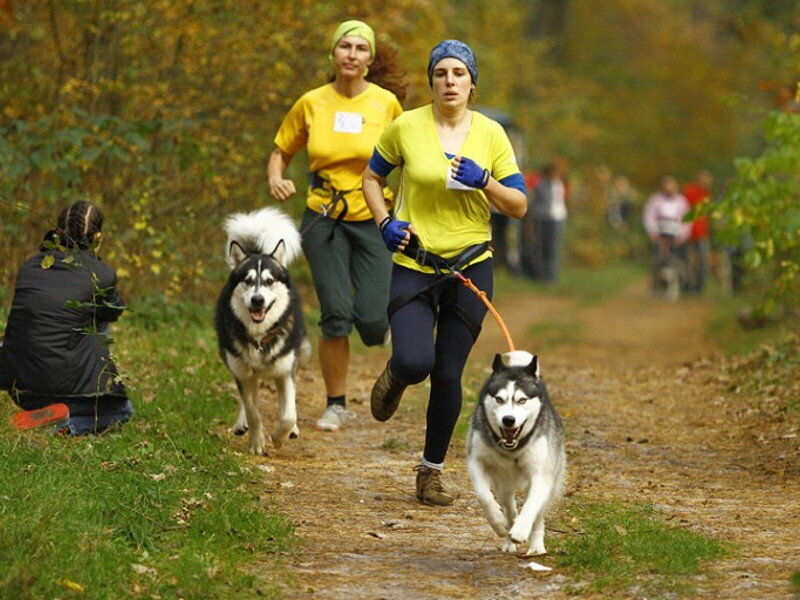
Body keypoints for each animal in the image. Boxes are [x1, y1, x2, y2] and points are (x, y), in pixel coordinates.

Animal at [214, 206, 310, 454]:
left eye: (269, 281)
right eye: (248, 281)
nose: (257, 300)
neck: (259, 337)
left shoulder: (285, 371)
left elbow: (288, 413)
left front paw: (280, 436)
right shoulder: (242, 372)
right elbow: (253, 411)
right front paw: (257, 442)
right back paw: (241, 424)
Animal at [466, 354, 564, 556]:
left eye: (522, 400)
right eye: (499, 399)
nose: (508, 420)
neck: (512, 449)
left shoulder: (541, 476)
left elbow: (531, 506)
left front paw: (520, 530)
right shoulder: (476, 460)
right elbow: (483, 495)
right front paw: (498, 523)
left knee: (537, 515)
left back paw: (536, 546)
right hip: (504, 486)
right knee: (510, 509)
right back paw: (508, 536)